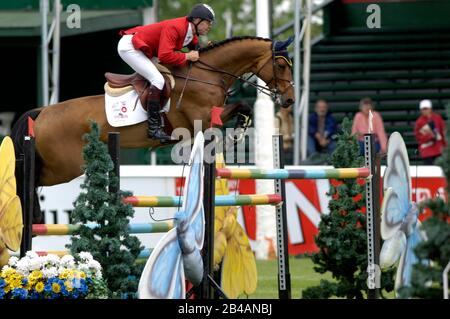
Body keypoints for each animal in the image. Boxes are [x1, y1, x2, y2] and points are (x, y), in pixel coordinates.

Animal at [10, 36, 296, 224]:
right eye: (281, 65)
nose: (290, 100)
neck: (206, 75)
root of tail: (41, 112)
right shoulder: (202, 120)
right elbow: (228, 119)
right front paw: (234, 135)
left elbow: (242, 106)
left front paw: (240, 127)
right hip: (64, 166)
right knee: (28, 180)